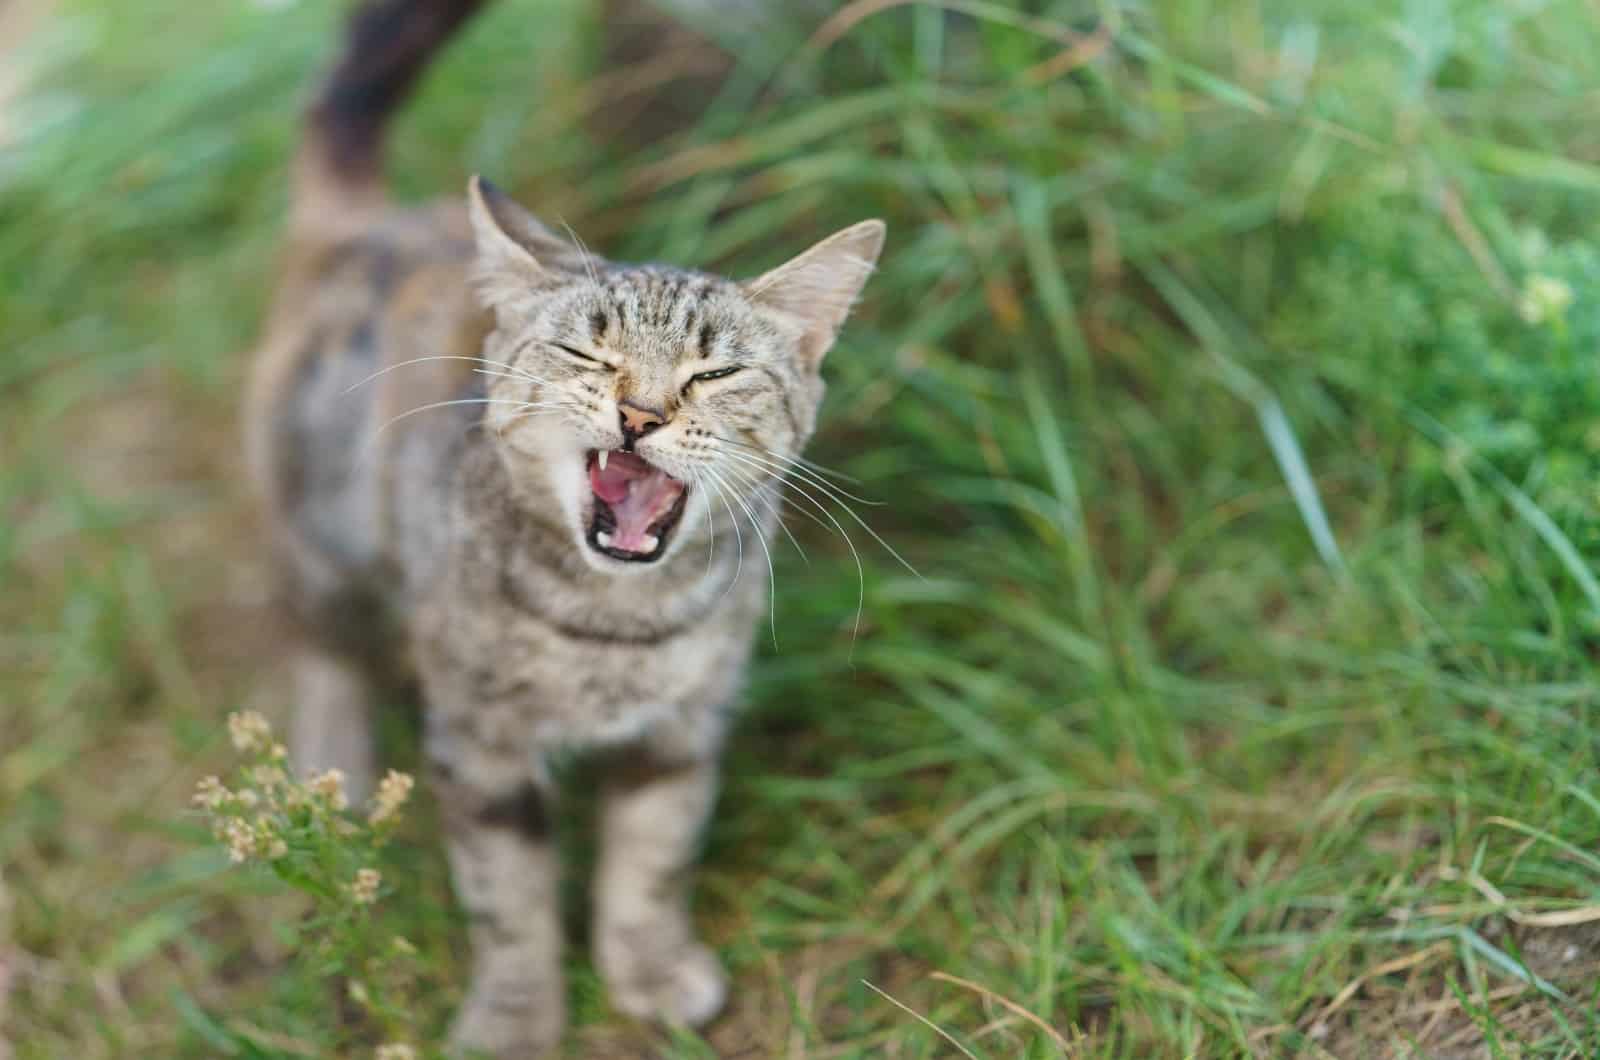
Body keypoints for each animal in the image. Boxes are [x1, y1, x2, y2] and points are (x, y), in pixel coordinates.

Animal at [246, 4, 889, 1056]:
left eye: (714, 374)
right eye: (588, 355)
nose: (640, 414)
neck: (613, 629)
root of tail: (369, 222)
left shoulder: (681, 728)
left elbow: (653, 857)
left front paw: (647, 969)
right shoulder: (480, 742)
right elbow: (506, 895)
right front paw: (516, 1014)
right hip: (324, 529)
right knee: (320, 647)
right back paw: (329, 770)